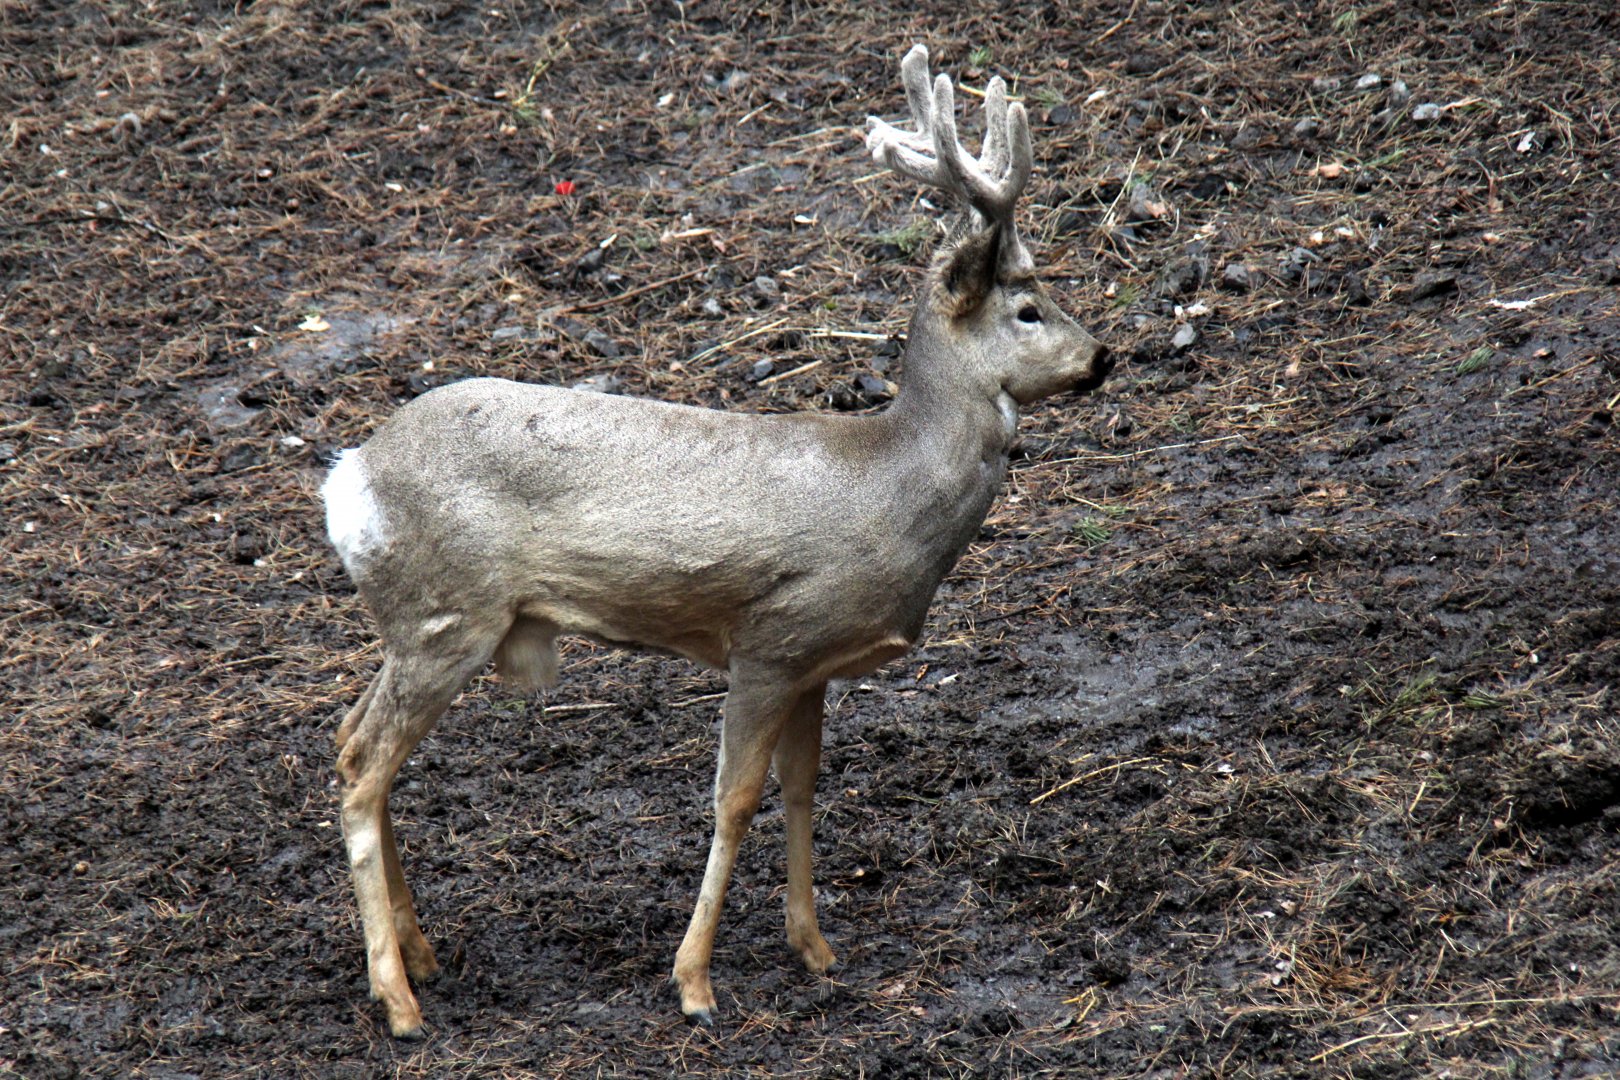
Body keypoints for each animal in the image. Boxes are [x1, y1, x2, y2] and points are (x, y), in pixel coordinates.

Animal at [321, 44, 1110, 1038]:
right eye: (1029, 307)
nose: (1103, 357)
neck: (892, 490)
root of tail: (348, 478)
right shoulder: (771, 639)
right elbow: (733, 801)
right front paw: (694, 981)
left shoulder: (818, 663)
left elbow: (804, 788)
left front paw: (815, 948)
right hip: (447, 615)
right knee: (362, 766)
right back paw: (397, 997)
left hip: (417, 623)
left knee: (353, 742)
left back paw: (421, 955)